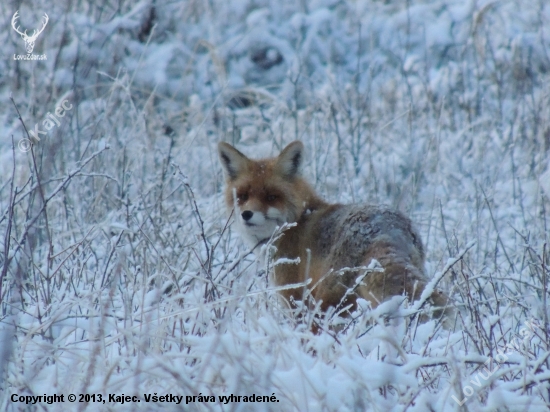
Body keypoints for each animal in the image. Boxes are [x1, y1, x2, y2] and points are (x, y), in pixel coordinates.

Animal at [218, 140, 450, 324]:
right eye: (242, 196)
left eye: (271, 197)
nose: (246, 214)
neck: (298, 219)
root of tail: (388, 227)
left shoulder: (295, 297)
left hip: (327, 303)